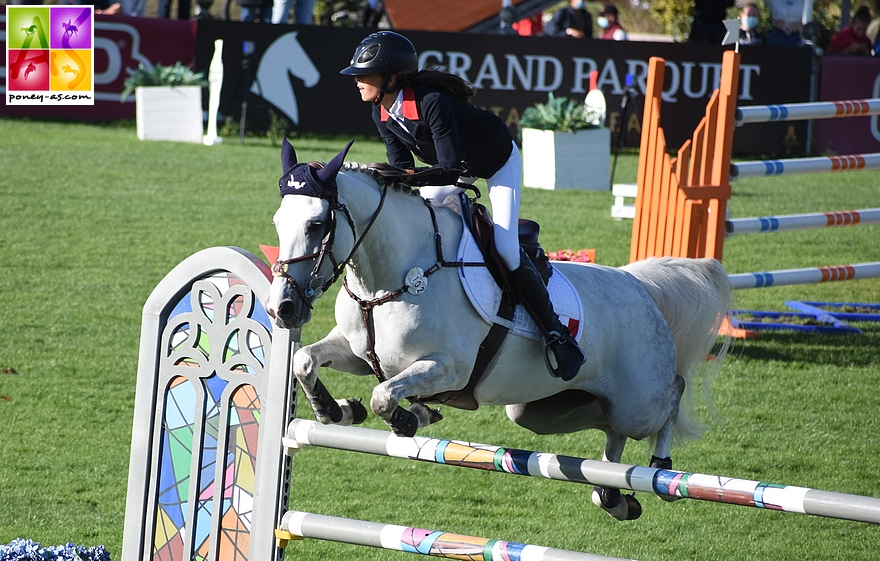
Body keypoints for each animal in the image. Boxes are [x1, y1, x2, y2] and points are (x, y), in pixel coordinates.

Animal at [264, 140, 732, 520]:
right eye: (277, 223)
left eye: (316, 225)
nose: (281, 309)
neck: (390, 278)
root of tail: (640, 286)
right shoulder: (359, 354)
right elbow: (305, 360)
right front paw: (337, 410)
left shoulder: (448, 368)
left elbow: (385, 395)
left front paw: (409, 418)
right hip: (540, 411)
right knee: (608, 427)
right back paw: (613, 494)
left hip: (638, 401)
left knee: (671, 394)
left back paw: (661, 471)